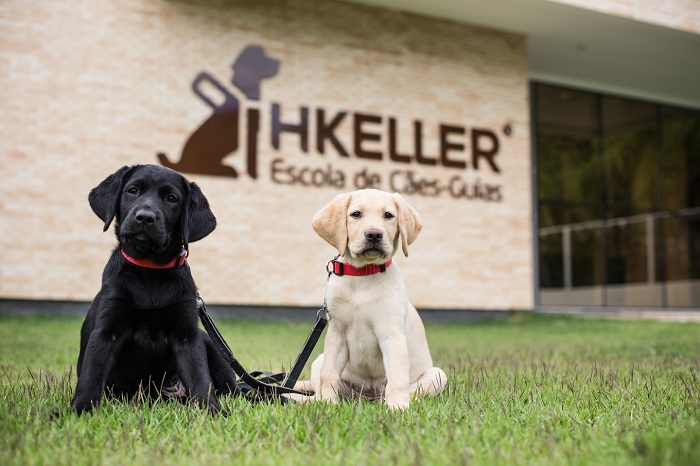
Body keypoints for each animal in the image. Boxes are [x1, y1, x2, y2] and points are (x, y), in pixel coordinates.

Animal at [73, 165, 238, 416]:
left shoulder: (187, 335)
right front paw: (77, 411)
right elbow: (91, 376)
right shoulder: (106, 331)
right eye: (132, 190)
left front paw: (211, 412)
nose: (145, 217)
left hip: (208, 342)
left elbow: (200, 378)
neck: (150, 270)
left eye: (171, 199)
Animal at [292, 187, 446, 410]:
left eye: (388, 215)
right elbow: (328, 375)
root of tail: (368, 396)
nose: (374, 234)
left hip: (437, 375)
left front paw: (398, 408)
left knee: (412, 391)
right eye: (356, 214)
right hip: (318, 361)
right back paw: (297, 397)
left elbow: (397, 377)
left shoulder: (392, 334)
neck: (363, 274)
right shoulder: (336, 334)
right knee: (319, 384)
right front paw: (328, 404)